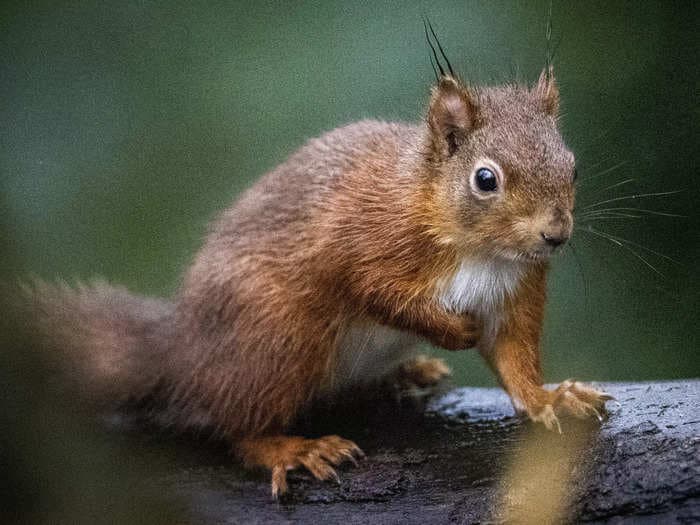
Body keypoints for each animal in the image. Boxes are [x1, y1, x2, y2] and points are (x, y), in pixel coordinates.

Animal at [24, 50, 608, 496]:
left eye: (573, 166)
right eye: (486, 180)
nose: (555, 235)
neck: (478, 250)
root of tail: (182, 351)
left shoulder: (516, 291)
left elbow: (514, 358)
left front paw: (549, 398)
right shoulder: (356, 241)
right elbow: (375, 292)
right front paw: (451, 330)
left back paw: (405, 373)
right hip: (280, 337)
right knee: (235, 424)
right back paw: (289, 448)